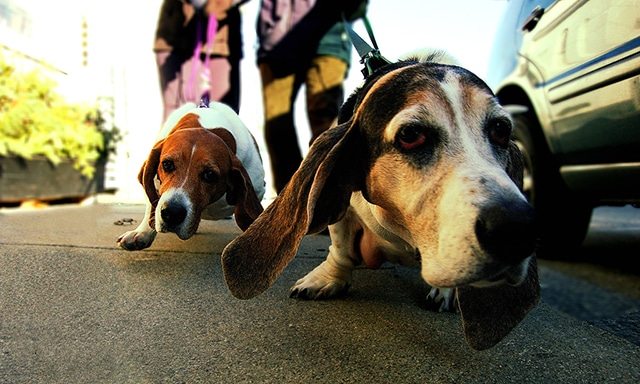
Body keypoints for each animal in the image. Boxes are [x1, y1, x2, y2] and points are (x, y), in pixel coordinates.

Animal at [220, 51, 540, 352]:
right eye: (411, 134)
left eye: (501, 130)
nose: (517, 229)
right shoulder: (346, 210)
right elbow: (342, 250)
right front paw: (327, 279)